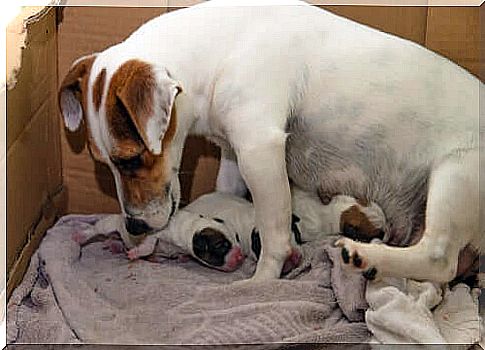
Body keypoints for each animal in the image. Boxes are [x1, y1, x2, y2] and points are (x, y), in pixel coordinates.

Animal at [58, 0, 482, 284]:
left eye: (130, 160)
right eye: (103, 162)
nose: (134, 225)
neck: (219, 48)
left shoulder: (259, 150)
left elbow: (275, 234)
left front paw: (260, 282)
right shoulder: (233, 153)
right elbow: (226, 194)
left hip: (455, 175)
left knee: (439, 258)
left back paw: (363, 255)